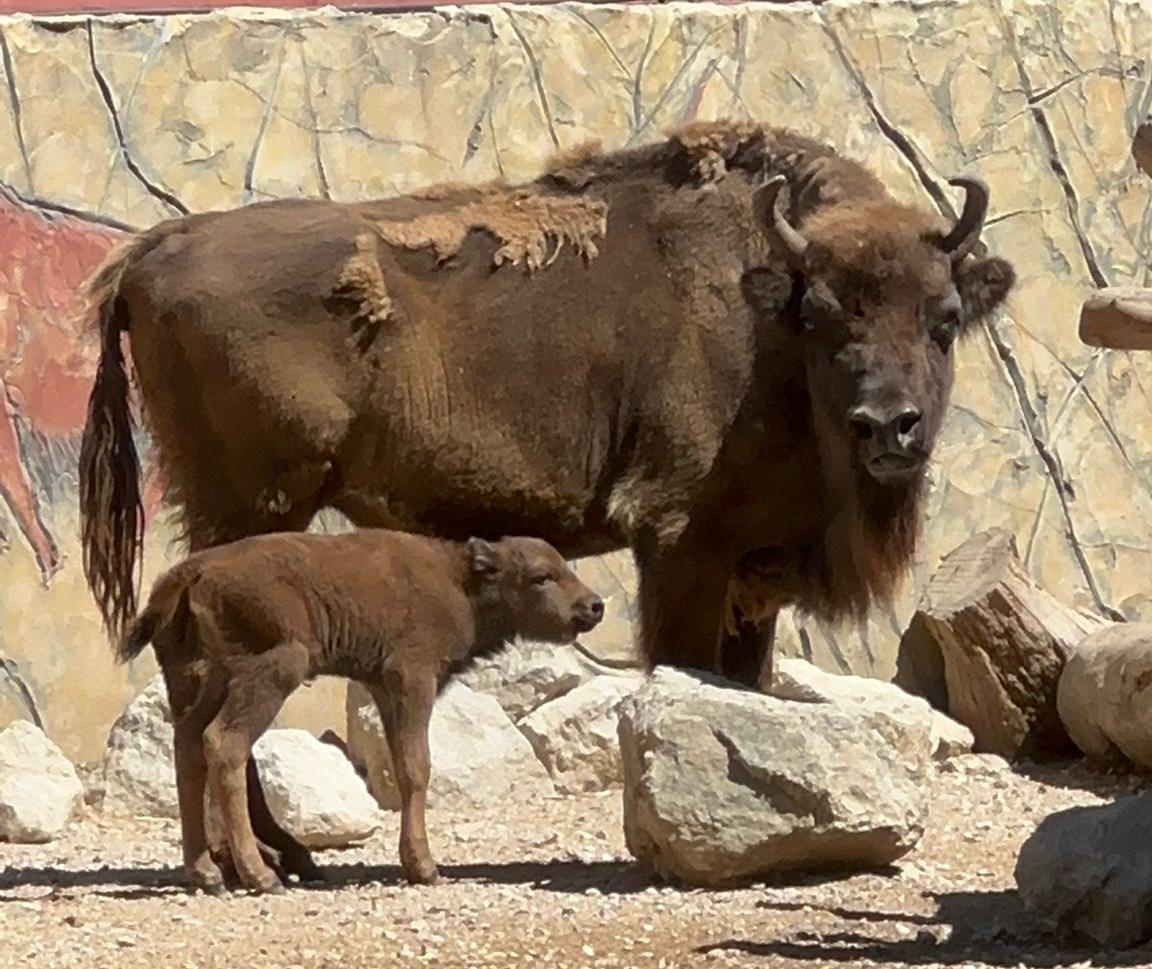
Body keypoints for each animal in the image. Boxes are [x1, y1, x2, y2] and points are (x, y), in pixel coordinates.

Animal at [119, 530, 603, 894]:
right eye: (541, 576)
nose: (593, 606)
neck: (459, 581)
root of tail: (190, 572)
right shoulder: (412, 679)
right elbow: (417, 768)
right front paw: (424, 868)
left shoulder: (384, 688)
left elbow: (405, 766)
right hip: (275, 668)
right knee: (224, 744)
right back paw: (261, 876)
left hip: (196, 683)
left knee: (188, 748)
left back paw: (207, 874)